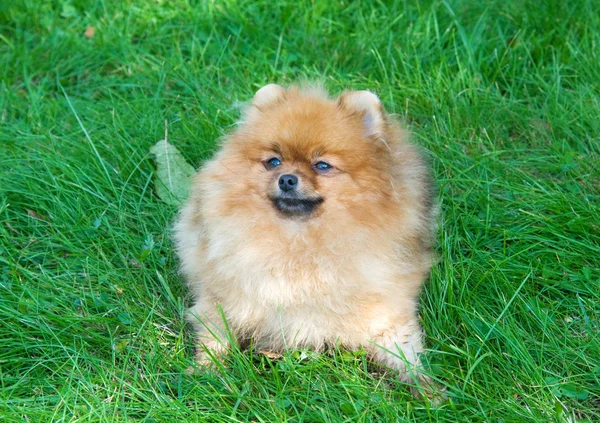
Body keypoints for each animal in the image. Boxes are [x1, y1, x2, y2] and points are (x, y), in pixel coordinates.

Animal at [173, 83, 436, 394]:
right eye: (273, 161)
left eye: (322, 165)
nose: (287, 178)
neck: (300, 241)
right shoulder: (224, 296)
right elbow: (215, 336)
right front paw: (205, 371)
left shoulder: (386, 310)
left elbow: (403, 351)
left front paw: (427, 389)